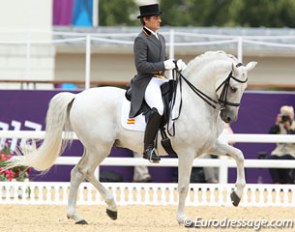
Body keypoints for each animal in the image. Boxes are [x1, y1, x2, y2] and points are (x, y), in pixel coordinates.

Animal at [7, 50, 256, 227]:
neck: (194, 100)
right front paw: (183, 219)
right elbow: (184, 185)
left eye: (244, 89)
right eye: (234, 88)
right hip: (100, 147)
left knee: (78, 172)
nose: (229, 117)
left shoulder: (208, 146)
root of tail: (78, 97)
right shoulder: (186, 153)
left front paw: (236, 195)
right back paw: (111, 207)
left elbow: (239, 155)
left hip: (93, 147)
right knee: (86, 171)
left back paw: (78, 215)